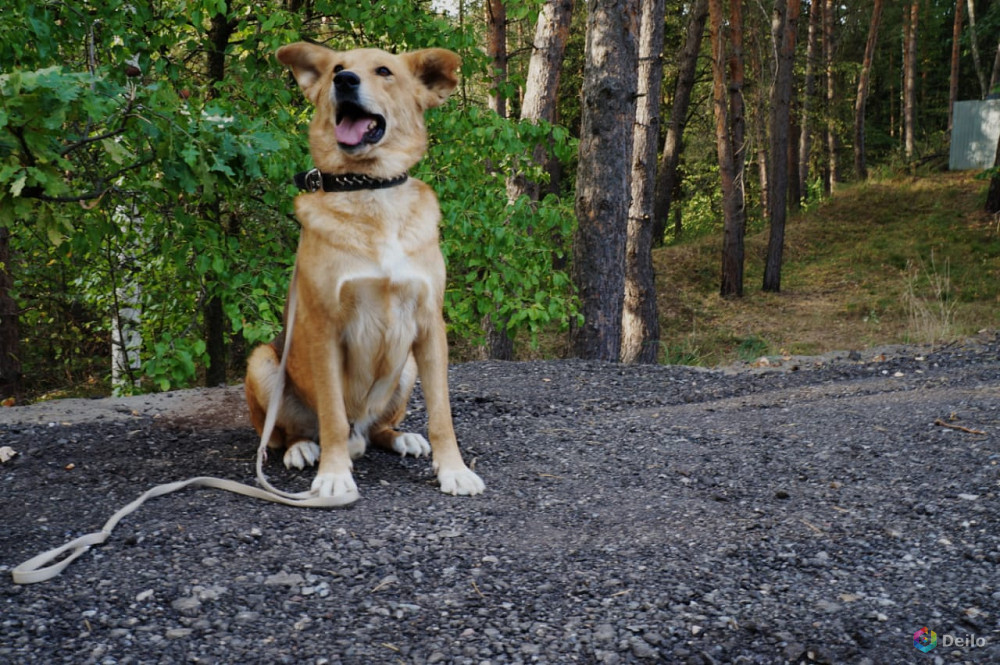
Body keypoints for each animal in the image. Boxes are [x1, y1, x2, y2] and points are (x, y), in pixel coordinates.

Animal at [248, 41, 486, 500]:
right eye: (337, 68)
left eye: (384, 71)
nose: (344, 81)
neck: (370, 189)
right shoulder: (324, 328)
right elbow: (332, 416)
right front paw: (334, 475)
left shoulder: (430, 325)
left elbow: (442, 414)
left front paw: (453, 470)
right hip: (263, 363)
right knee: (287, 432)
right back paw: (303, 449)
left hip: (405, 368)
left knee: (379, 427)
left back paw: (400, 437)